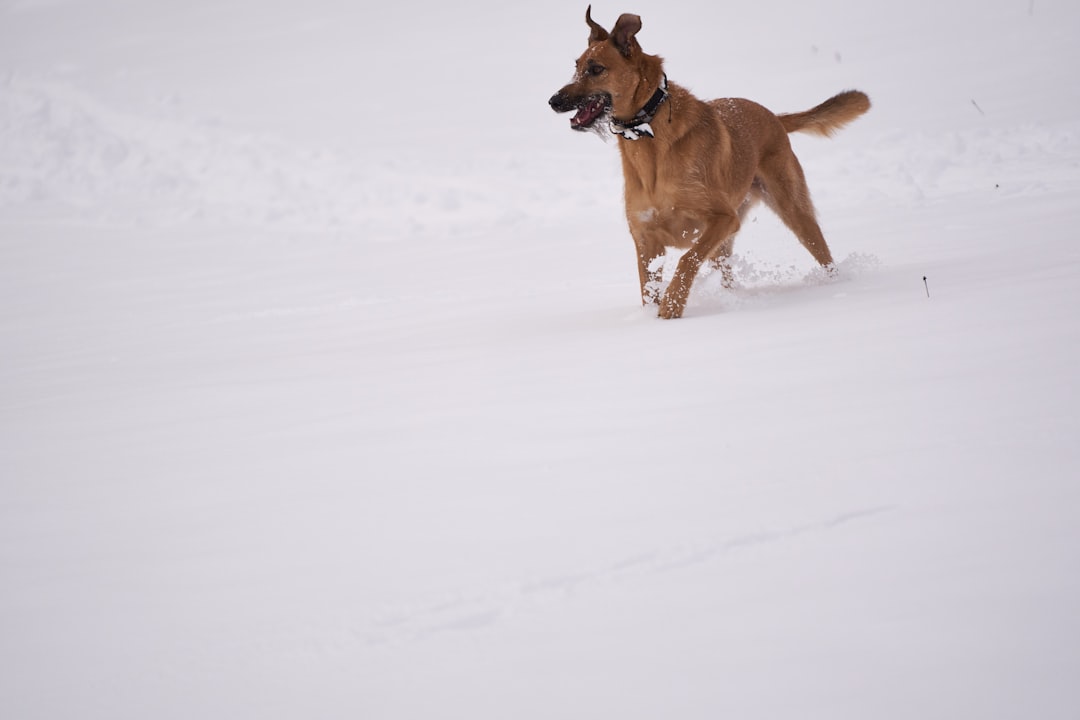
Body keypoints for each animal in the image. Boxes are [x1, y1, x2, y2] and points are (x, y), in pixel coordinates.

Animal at [548, 7, 868, 317]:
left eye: (596, 69)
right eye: (576, 66)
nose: (553, 101)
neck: (649, 137)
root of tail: (774, 117)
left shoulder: (721, 219)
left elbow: (687, 259)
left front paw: (672, 305)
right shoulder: (646, 239)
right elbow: (647, 289)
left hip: (792, 209)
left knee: (822, 252)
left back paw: (835, 288)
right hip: (726, 242)